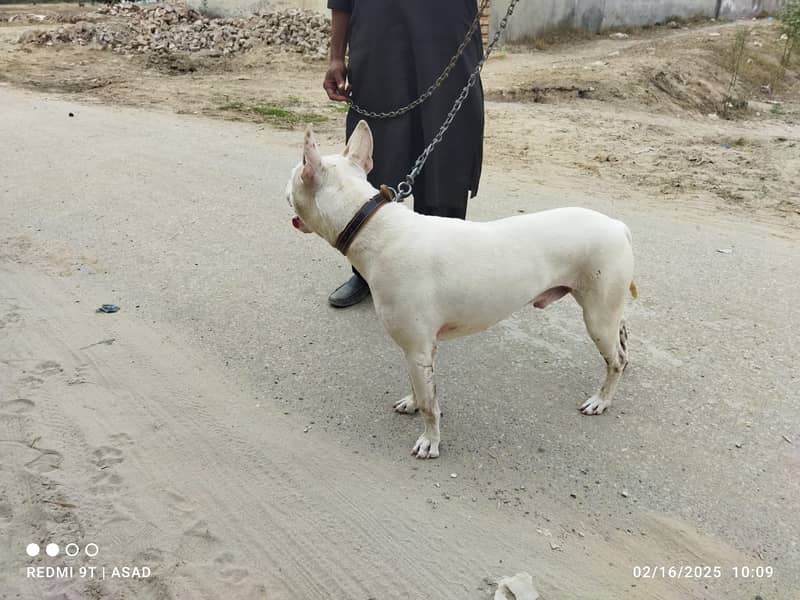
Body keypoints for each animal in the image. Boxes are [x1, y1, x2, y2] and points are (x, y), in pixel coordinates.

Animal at [288, 122, 636, 460]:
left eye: (295, 173)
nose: (285, 189)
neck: (372, 226)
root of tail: (616, 225)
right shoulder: (421, 349)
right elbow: (423, 391)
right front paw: (412, 402)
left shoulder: (416, 349)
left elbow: (430, 405)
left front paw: (430, 441)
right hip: (606, 309)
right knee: (621, 339)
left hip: (597, 317)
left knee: (615, 361)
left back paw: (601, 400)